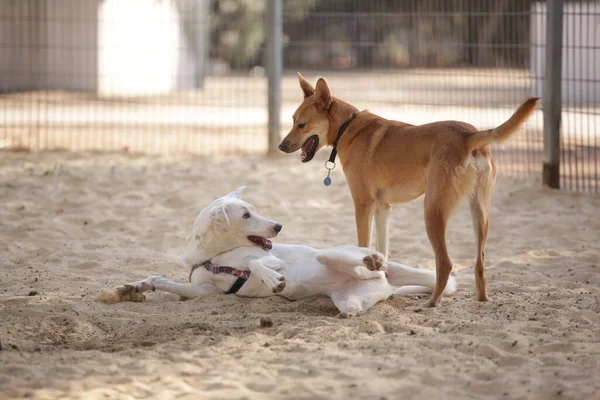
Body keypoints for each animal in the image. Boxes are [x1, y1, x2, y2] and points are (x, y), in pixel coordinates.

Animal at [101, 188, 458, 316]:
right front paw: (134, 287)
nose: (278, 226)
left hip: (332, 253)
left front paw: (273, 279)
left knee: (351, 260)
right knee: (356, 303)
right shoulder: (204, 292)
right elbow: (160, 280)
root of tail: (387, 284)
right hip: (350, 298)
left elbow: (261, 264)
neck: (215, 257)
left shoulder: (267, 257)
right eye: (246, 215)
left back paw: (372, 259)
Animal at [280, 73, 540, 308]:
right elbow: (383, 250)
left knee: (445, 263)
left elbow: (362, 243)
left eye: (301, 125)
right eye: (292, 120)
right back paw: (482, 299)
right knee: (480, 262)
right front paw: (378, 273)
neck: (348, 127)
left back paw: (432, 302)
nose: (282, 146)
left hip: (432, 211)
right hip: (480, 213)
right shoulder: (383, 207)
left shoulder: (363, 205)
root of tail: (468, 135)